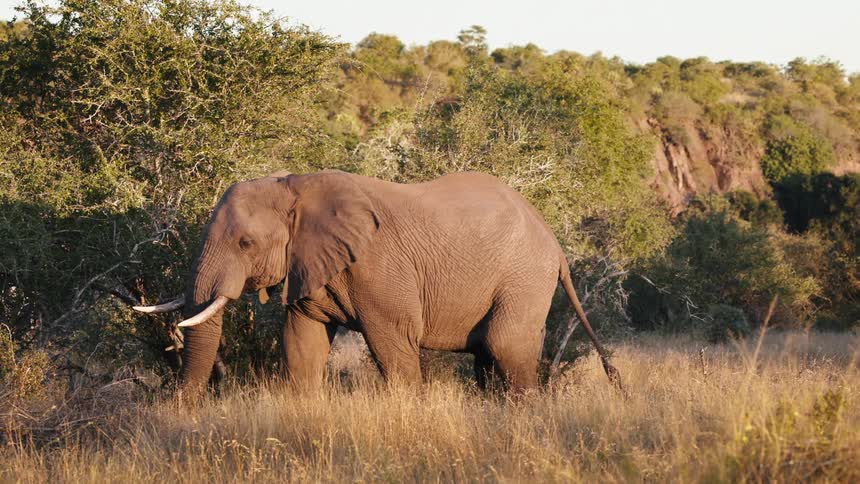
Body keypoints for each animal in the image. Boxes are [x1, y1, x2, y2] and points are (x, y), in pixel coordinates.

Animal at [135, 170, 620, 393]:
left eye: (245, 243)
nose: (181, 410)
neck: (296, 186)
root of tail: (555, 243)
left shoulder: (381, 268)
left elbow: (393, 344)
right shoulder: (308, 265)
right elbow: (302, 344)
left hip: (524, 275)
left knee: (505, 344)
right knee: (488, 354)